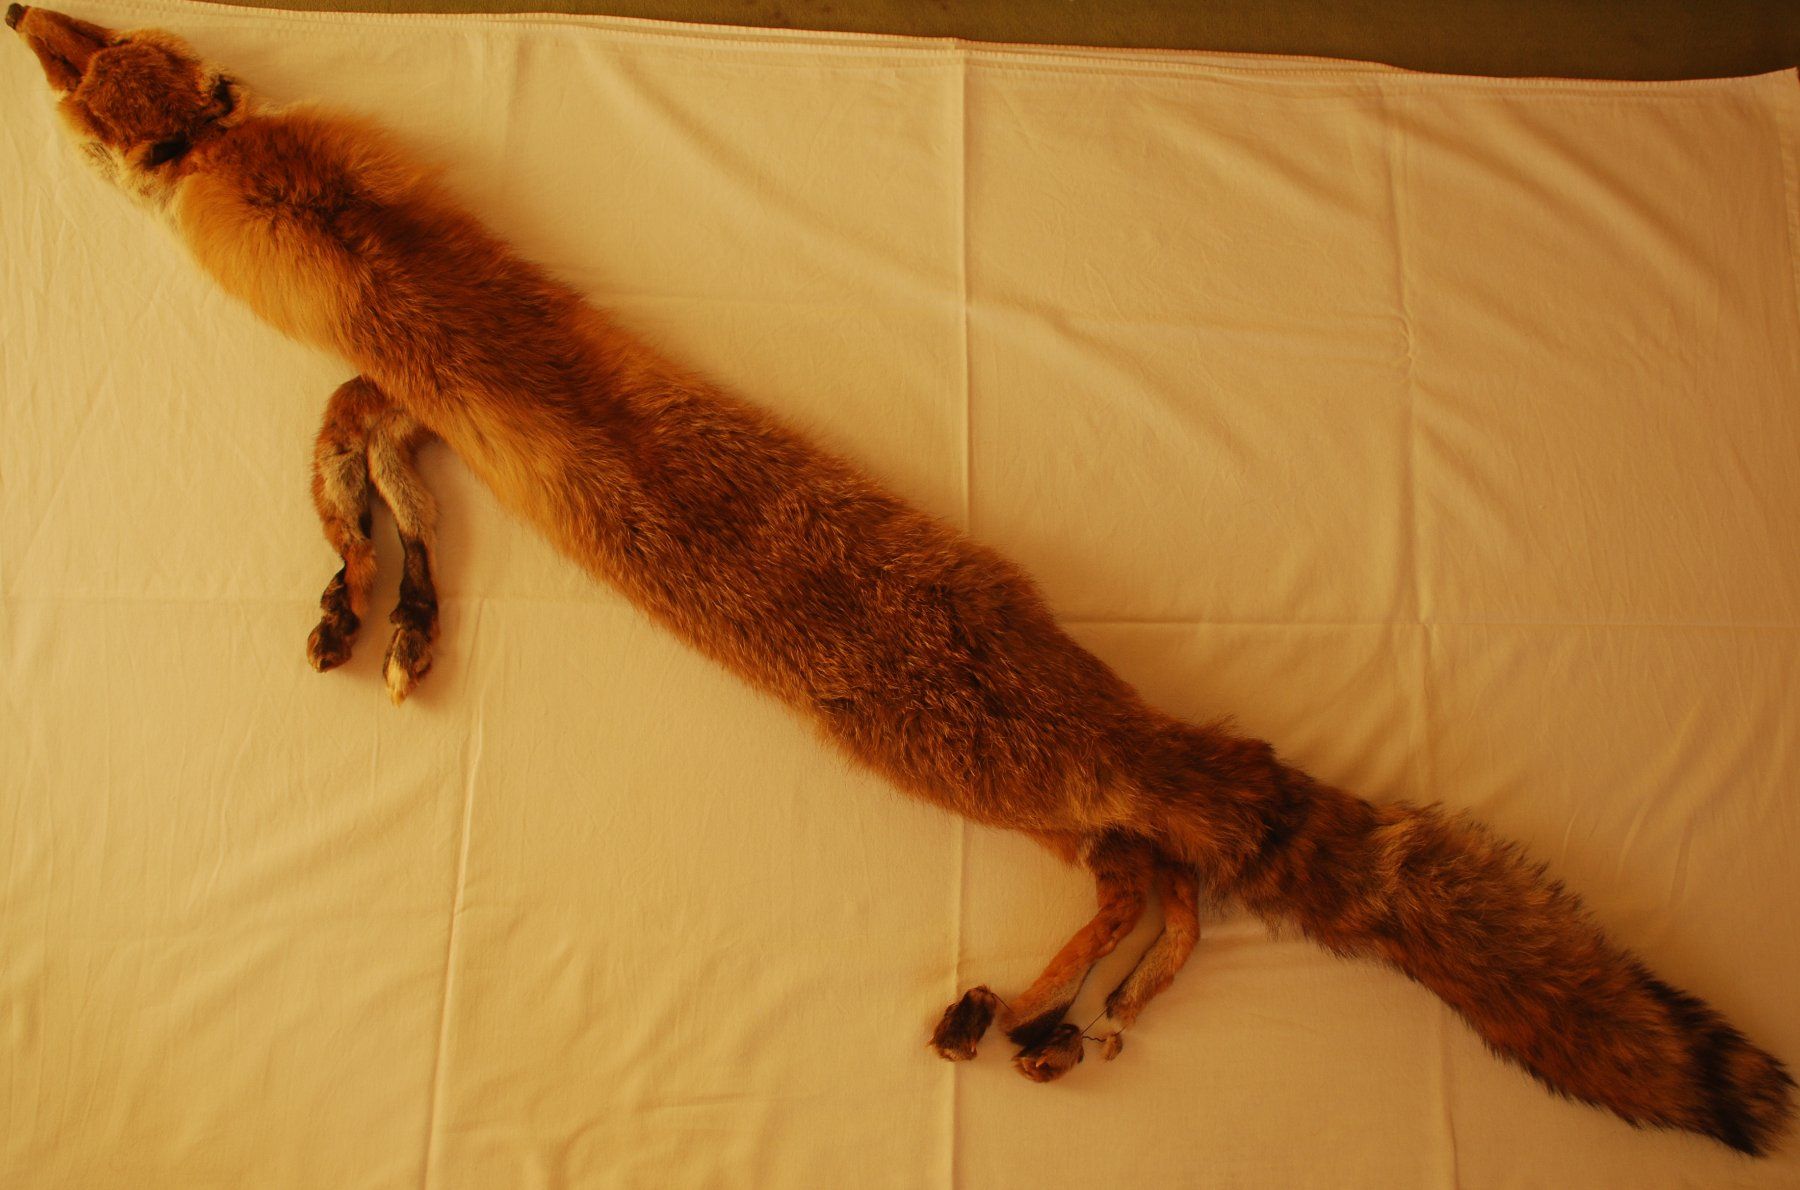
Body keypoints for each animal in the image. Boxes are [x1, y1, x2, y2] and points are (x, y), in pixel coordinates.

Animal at [8, 4, 1795, 1156]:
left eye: (70, 87)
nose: (27, 4)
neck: (268, 175)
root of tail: (1133, 723)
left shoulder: (388, 366)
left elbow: (337, 457)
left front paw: (365, 599)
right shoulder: (411, 391)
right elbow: (369, 476)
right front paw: (388, 608)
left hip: (961, 773)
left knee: (1158, 878)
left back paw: (1038, 1013)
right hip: (1054, 802)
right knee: (1169, 883)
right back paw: (1070, 1022)